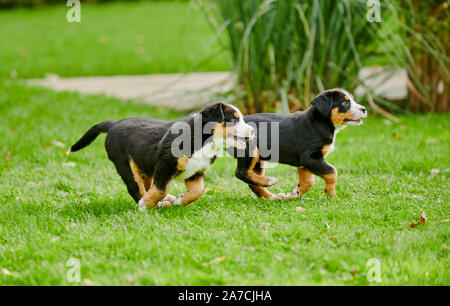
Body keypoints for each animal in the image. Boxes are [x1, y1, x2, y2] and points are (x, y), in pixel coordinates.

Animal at [68, 103, 255, 210]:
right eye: (233, 119)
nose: (253, 131)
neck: (204, 141)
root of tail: (114, 124)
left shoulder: (196, 171)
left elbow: (198, 190)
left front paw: (180, 200)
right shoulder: (165, 165)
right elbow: (160, 189)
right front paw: (146, 205)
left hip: (145, 166)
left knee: (147, 185)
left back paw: (167, 200)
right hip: (125, 164)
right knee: (136, 188)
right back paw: (149, 204)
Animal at [230, 87, 368, 200]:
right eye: (345, 103)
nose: (364, 109)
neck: (320, 123)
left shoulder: (305, 163)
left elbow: (308, 181)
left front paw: (295, 193)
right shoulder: (310, 157)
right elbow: (332, 172)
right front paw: (331, 194)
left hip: (259, 159)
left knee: (252, 180)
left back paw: (272, 196)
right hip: (249, 150)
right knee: (241, 173)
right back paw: (270, 182)